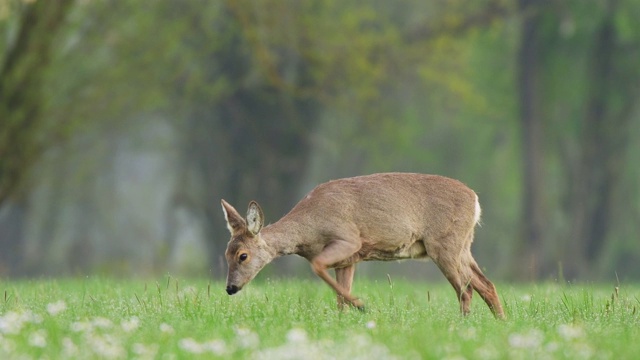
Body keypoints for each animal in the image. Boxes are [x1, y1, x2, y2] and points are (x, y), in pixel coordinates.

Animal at [220, 173, 504, 320]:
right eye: (226, 254)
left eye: (243, 255)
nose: (230, 288)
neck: (310, 228)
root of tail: (475, 199)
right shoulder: (349, 260)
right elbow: (339, 296)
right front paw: (345, 316)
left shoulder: (349, 239)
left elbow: (317, 266)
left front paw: (361, 305)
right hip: (463, 246)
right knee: (485, 284)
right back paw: (500, 321)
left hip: (444, 244)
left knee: (466, 289)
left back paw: (463, 325)